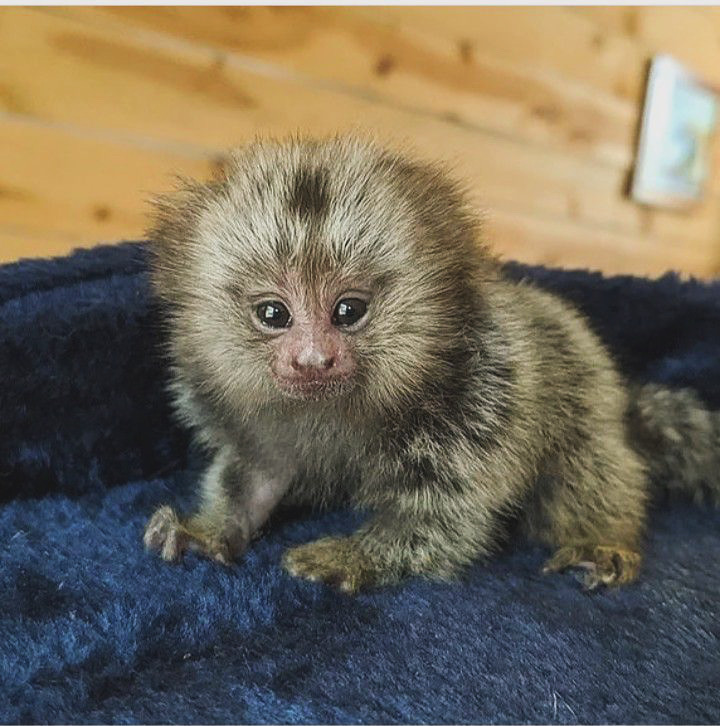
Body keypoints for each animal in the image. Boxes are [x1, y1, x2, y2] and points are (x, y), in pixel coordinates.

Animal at [143, 135, 716, 592]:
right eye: (273, 314)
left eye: (348, 311)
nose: (313, 360)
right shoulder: (255, 422)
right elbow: (255, 475)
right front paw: (208, 531)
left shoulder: (483, 401)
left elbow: (445, 513)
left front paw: (354, 557)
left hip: (584, 402)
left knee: (583, 467)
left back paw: (603, 541)